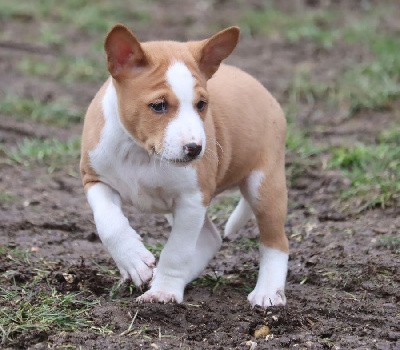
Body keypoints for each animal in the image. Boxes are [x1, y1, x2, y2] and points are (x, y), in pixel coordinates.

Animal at [80, 24, 288, 308]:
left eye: (201, 104)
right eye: (158, 106)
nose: (195, 149)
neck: (140, 152)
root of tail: (259, 86)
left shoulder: (192, 199)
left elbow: (177, 251)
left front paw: (164, 291)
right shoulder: (95, 180)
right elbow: (109, 223)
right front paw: (134, 261)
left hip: (264, 186)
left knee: (276, 242)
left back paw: (267, 292)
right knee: (211, 238)